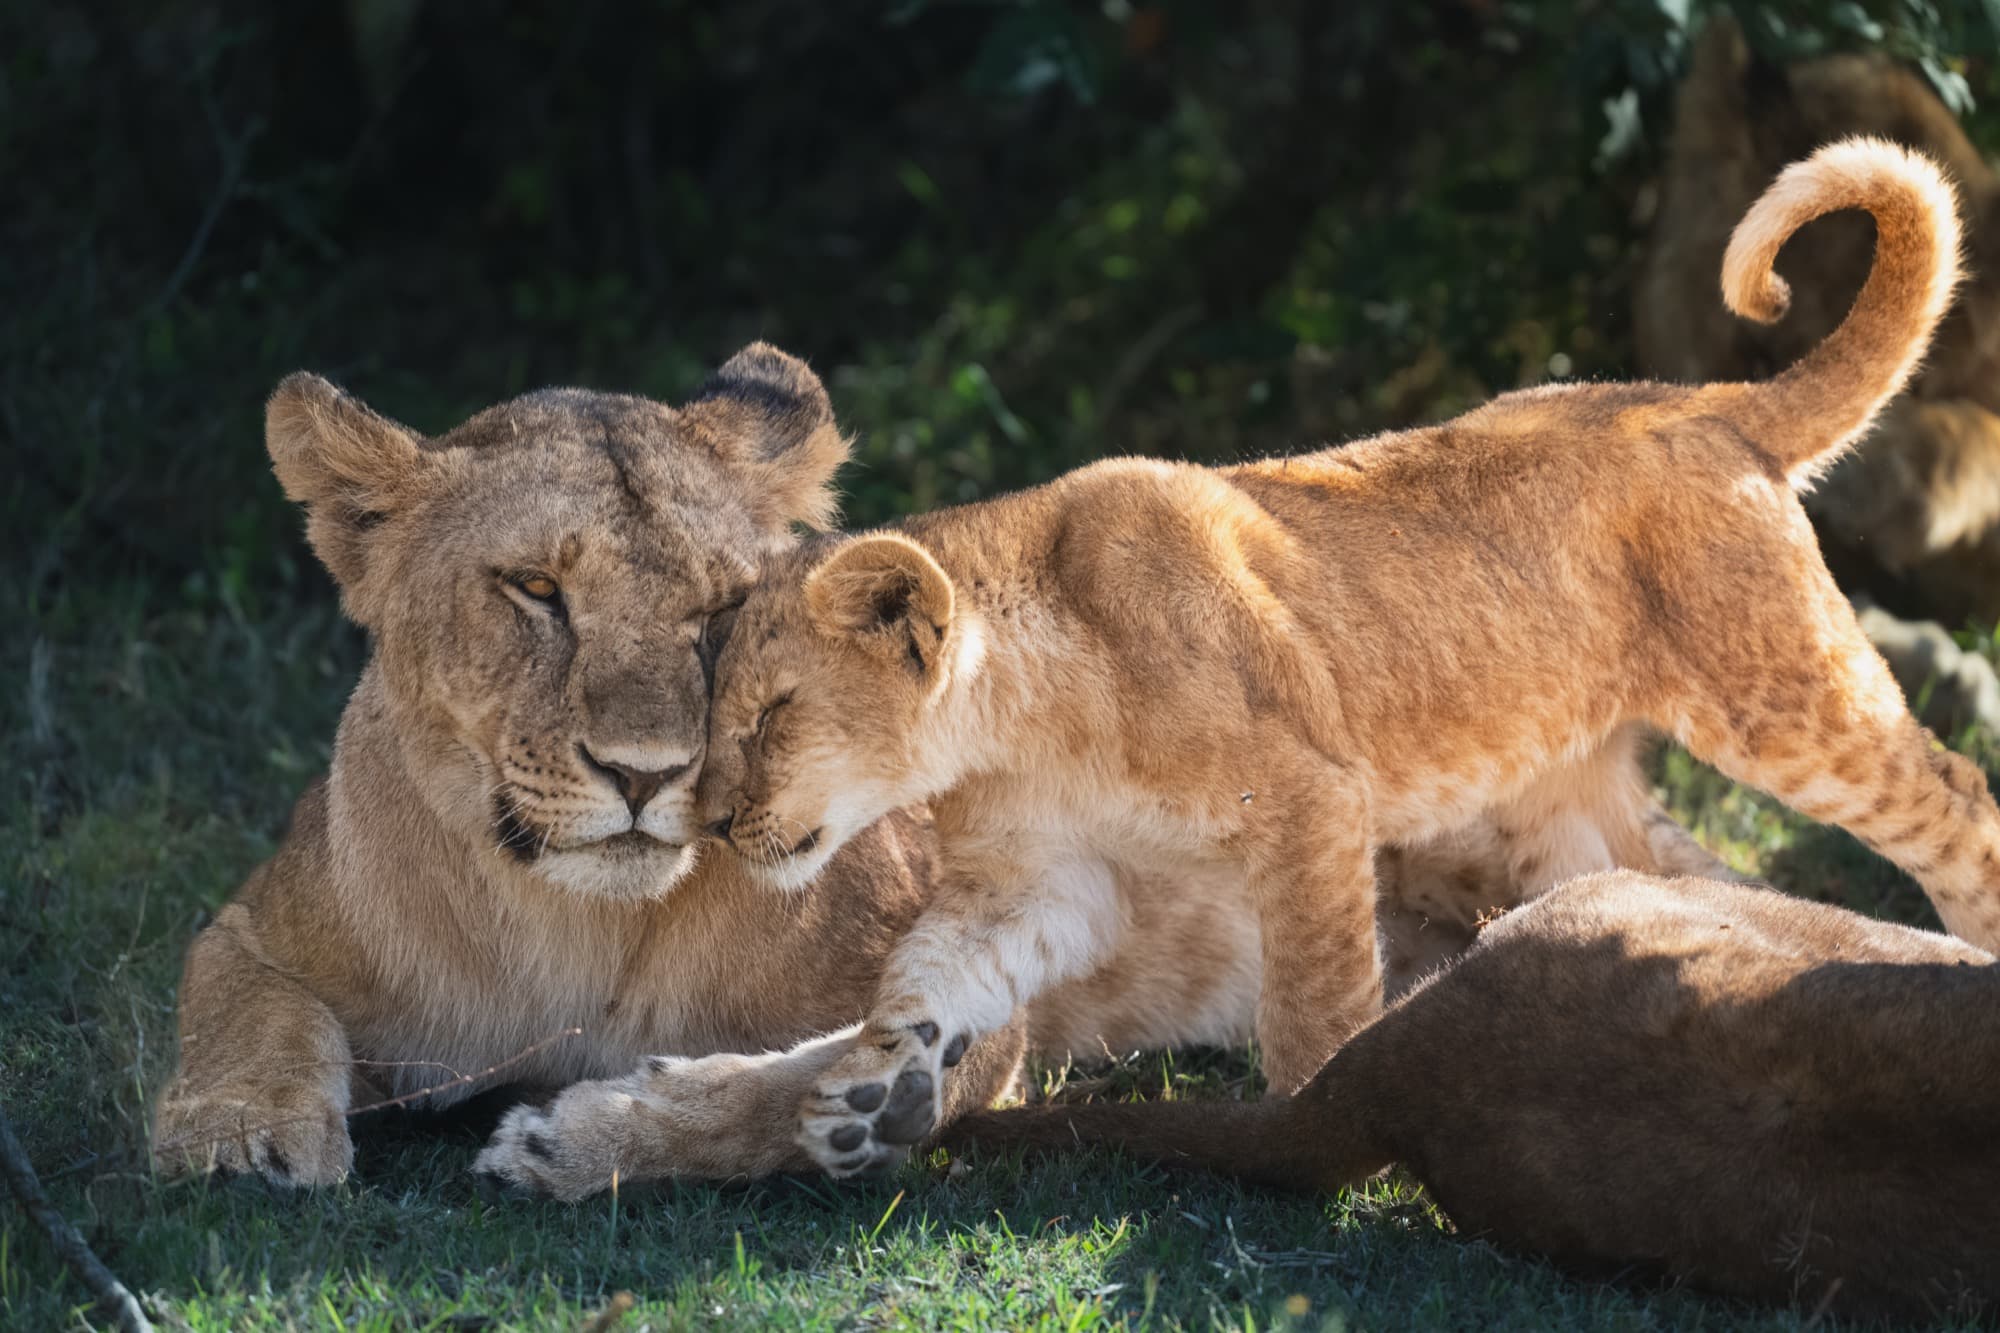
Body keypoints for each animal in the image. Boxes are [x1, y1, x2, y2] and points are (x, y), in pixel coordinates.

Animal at [153, 344, 1724, 1193]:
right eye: (534, 589)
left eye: (721, 611)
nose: (649, 775)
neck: (572, 925)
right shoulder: (267, 915)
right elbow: (234, 998)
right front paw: (242, 1134)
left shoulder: (975, 984)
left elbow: (815, 1078)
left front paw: (613, 1129)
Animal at [671, 139, 2000, 1180]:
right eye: (710, 713)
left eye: (774, 712)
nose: (719, 824)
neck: (1021, 724)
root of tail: (1696, 398)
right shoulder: (1039, 880)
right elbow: (923, 972)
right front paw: (860, 1097)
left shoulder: (1310, 801)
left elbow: (1310, 1003)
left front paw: (1302, 1134)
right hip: (1558, 799)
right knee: (1684, 881)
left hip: (1780, 695)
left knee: (1956, 800)